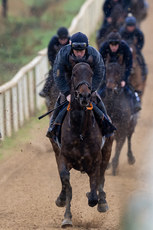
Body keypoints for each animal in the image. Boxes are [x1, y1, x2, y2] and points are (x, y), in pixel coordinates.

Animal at [49, 62, 113, 227]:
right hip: (55, 150)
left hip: (108, 149)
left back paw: (102, 201)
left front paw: (94, 196)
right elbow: (67, 183)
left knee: (102, 177)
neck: (80, 131)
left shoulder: (95, 161)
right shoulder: (63, 157)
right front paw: (66, 217)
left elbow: (93, 195)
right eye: (74, 74)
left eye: (91, 74)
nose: (84, 96)